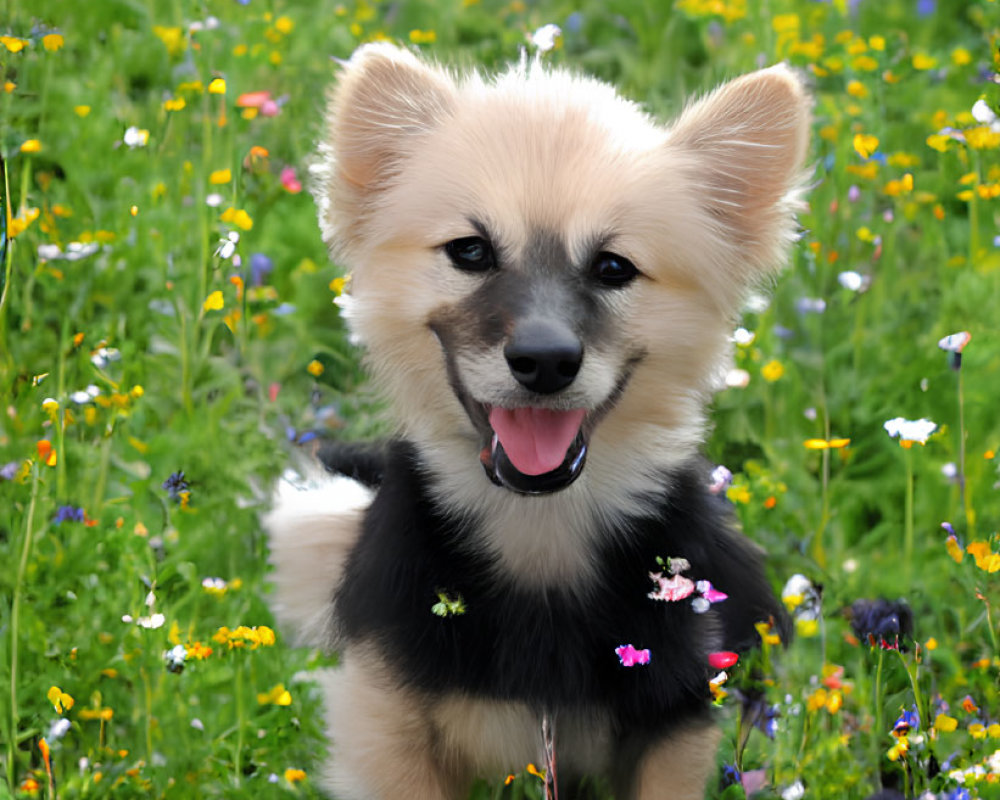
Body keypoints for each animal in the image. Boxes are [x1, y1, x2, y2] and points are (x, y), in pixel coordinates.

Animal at [268, 45, 812, 800]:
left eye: (614, 266)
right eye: (470, 251)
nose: (545, 361)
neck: (540, 531)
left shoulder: (675, 724)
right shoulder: (385, 720)